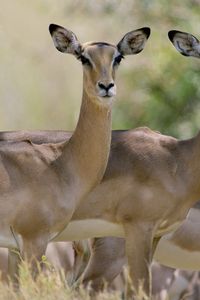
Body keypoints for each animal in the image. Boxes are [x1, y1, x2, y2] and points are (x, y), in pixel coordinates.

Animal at [0, 22, 150, 284]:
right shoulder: (33, 240)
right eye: (83, 58)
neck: (58, 163)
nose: (106, 86)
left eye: (118, 57)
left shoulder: (15, 247)